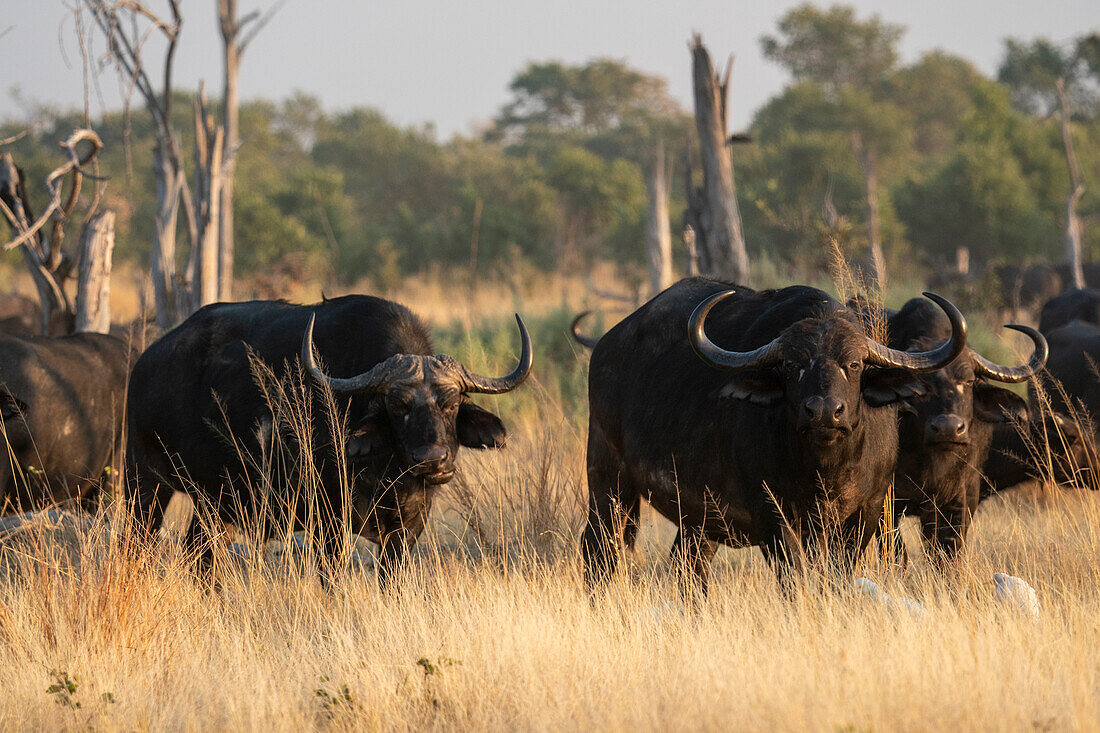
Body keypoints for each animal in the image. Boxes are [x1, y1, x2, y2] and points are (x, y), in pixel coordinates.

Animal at [580, 277, 968, 589]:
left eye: (855, 364)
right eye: (792, 365)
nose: (824, 411)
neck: (824, 471)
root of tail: (606, 345)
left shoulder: (866, 514)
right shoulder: (775, 519)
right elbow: (794, 582)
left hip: (698, 518)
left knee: (688, 568)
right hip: (609, 479)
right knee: (599, 552)